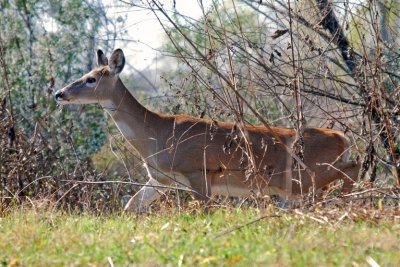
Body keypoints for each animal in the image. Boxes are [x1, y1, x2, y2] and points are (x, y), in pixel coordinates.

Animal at [55, 49, 360, 213]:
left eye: (91, 79)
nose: (59, 93)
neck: (156, 134)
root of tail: (342, 138)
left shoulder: (198, 170)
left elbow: (204, 210)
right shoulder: (162, 178)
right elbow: (132, 204)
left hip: (303, 174)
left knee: (352, 168)